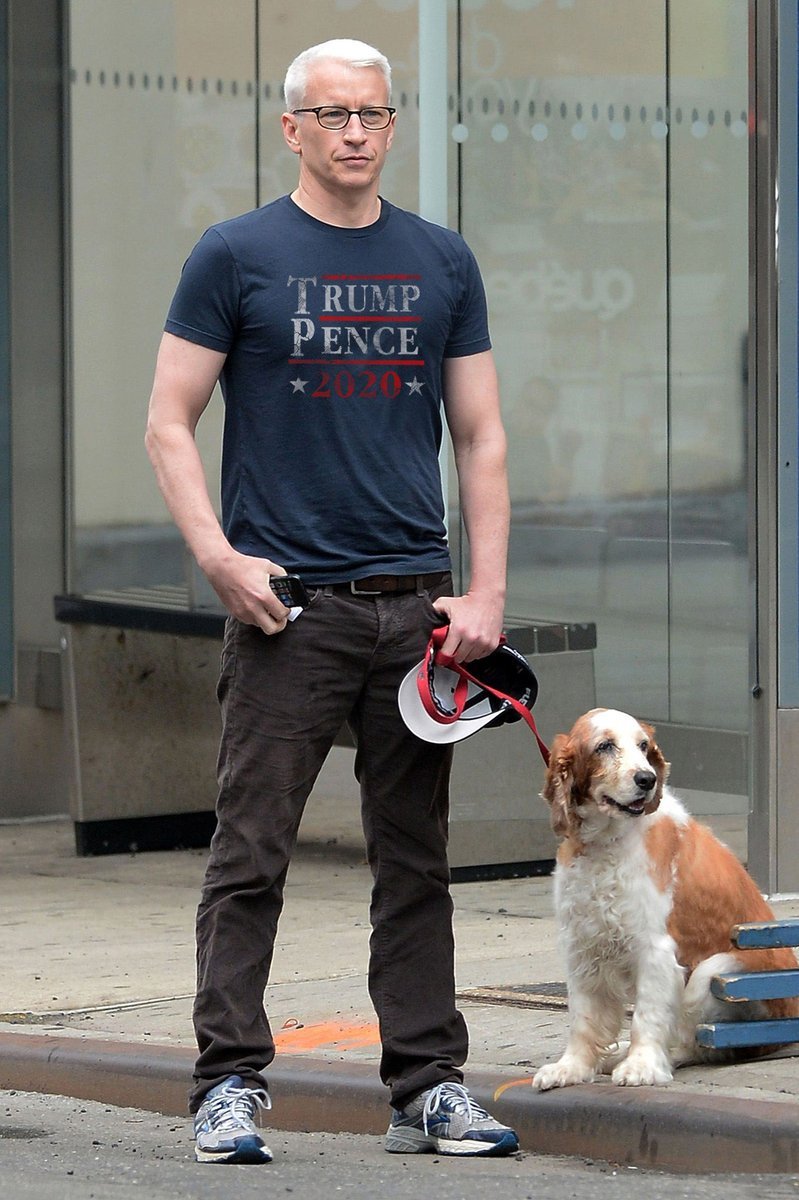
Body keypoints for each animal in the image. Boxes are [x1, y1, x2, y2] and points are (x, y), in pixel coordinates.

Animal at [527, 705, 796, 1094]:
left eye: (643, 746)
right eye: (605, 746)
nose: (647, 779)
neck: (606, 842)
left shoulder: (653, 948)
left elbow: (648, 1014)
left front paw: (641, 1066)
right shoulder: (582, 947)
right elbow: (583, 1018)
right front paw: (571, 1068)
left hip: (713, 973)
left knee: (696, 1041)